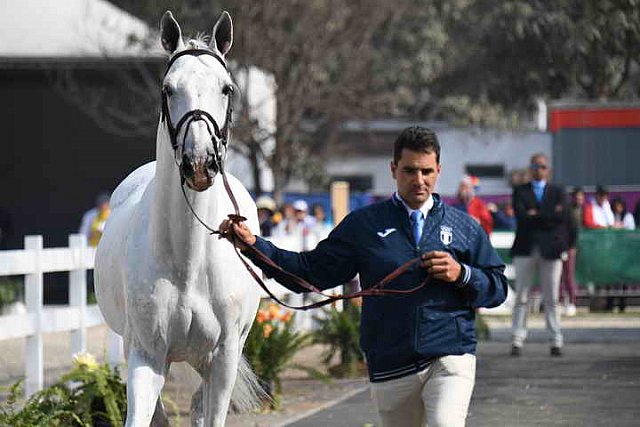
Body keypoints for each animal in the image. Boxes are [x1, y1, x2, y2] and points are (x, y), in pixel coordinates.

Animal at [93, 10, 262, 427]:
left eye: (227, 88)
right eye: (168, 88)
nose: (198, 163)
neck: (188, 263)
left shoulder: (223, 360)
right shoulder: (146, 355)